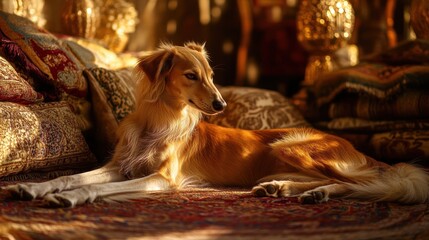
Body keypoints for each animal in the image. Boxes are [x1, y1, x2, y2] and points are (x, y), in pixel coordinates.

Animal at [3, 42, 428, 207]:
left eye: (211, 75)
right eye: (191, 76)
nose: (221, 103)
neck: (161, 122)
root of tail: (355, 148)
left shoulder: (164, 179)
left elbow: (100, 189)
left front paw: (74, 198)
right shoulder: (119, 166)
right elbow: (69, 176)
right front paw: (35, 187)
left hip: (292, 145)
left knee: (356, 183)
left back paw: (317, 192)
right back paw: (282, 188)